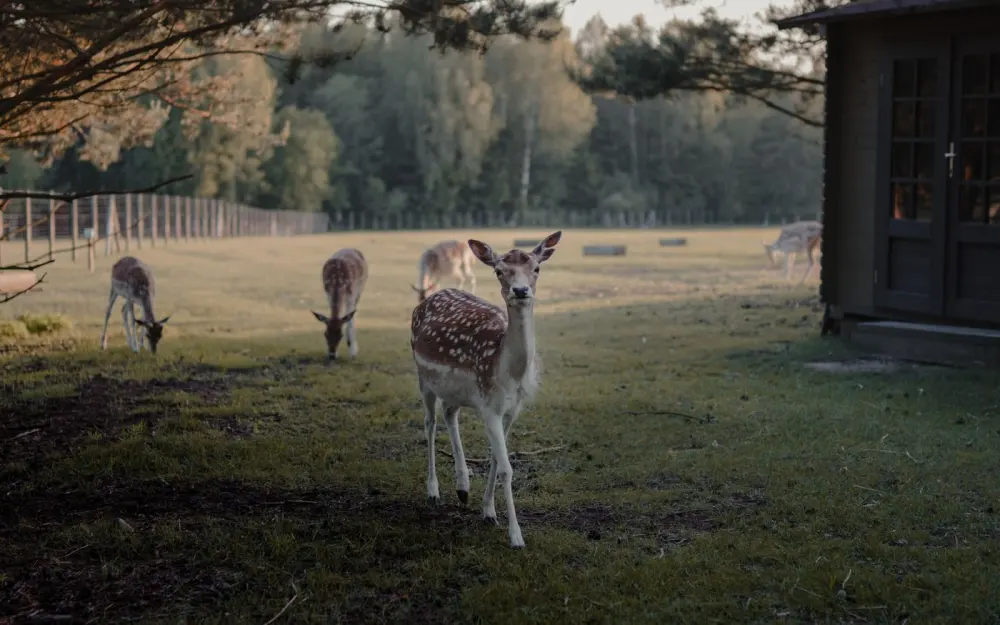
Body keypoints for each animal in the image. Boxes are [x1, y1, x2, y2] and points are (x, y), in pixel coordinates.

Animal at [409, 230, 562, 549]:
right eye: (499, 271)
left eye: (537, 268)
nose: (520, 290)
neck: (509, 373)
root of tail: (426, 300)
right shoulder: (489, 405)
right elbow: (506, 467)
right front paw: (516, 536)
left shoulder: (513, 408)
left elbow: (495, 457)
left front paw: (489, 512)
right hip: (423, 376)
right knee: (430, 422)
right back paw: (433, 491)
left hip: (456, 392)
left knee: (449, 414)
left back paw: (463, 487)